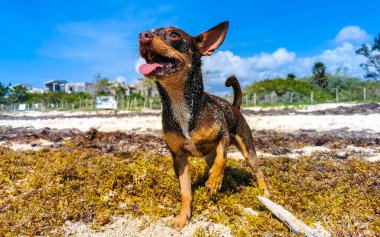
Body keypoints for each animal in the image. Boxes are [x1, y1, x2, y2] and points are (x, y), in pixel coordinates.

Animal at [138, 21, 268, 229]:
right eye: (147, 32)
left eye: (174, 34)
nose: (142, 35)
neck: (180, 103)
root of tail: (234, 107)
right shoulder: (179, 158)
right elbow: (185, 191)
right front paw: (183, 216)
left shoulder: (223, 135)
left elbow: (223, 159)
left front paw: (214, 181)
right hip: (208, 156)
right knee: (218, 165)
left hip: (248, 150)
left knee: (258, 171)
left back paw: (264, 193)